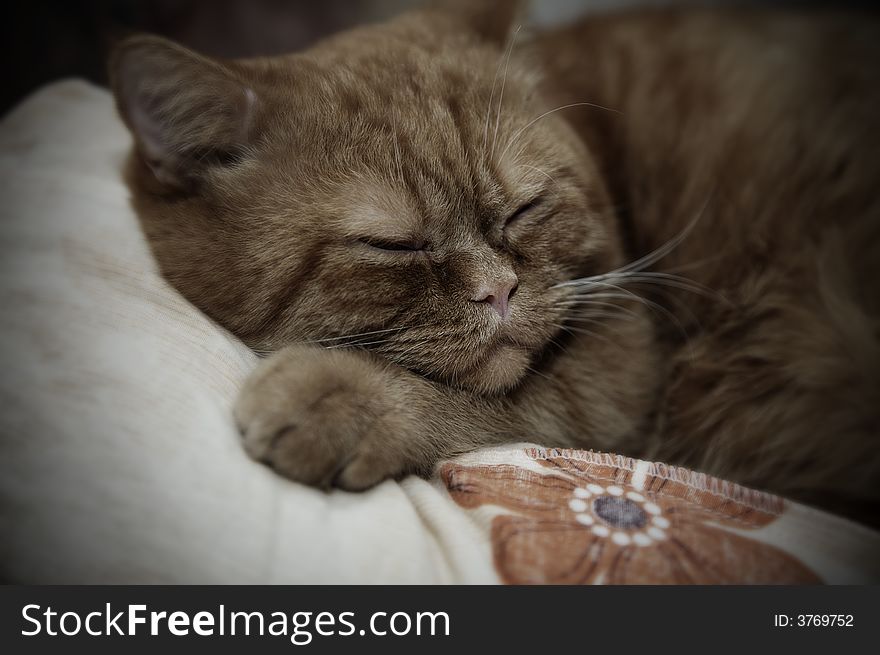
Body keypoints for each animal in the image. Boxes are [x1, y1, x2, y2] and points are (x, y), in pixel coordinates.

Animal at [108, 0, 880, 524]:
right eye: (394, 245)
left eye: (524, 209)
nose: (500, 291)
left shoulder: (623, 356)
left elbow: (502, 402)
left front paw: (345, 394)